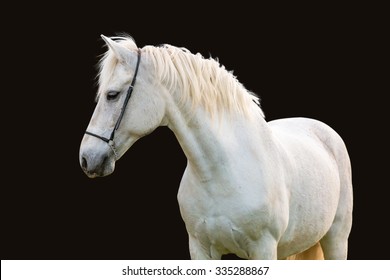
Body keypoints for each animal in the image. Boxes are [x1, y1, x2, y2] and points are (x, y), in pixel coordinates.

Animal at [79, 35, 354, 260]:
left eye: (112, 95)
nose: (86, 158)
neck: (222, 173)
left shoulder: (264, 250)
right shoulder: (200, 249)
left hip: (336, 240)